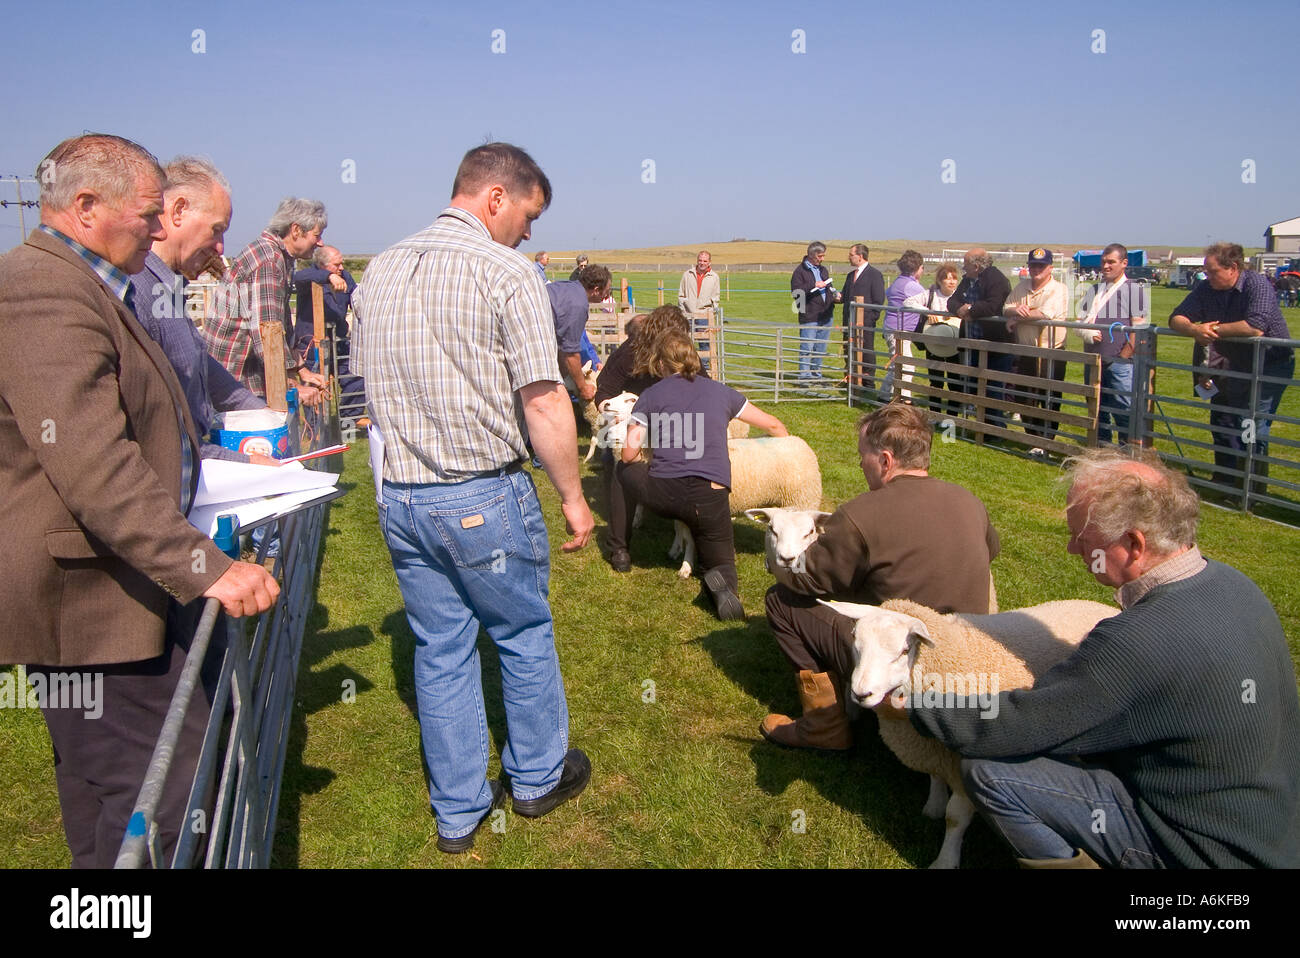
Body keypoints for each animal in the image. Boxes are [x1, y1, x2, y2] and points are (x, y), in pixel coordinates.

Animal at [821, 597, 1118, 868]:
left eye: (905, 651)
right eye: (855, 644)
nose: (861, 694)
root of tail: (1102, 605)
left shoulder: (960, 763)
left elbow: (955, 818)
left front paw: (945, 861)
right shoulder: (933, 747)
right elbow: (935, 776)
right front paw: (934, 805)